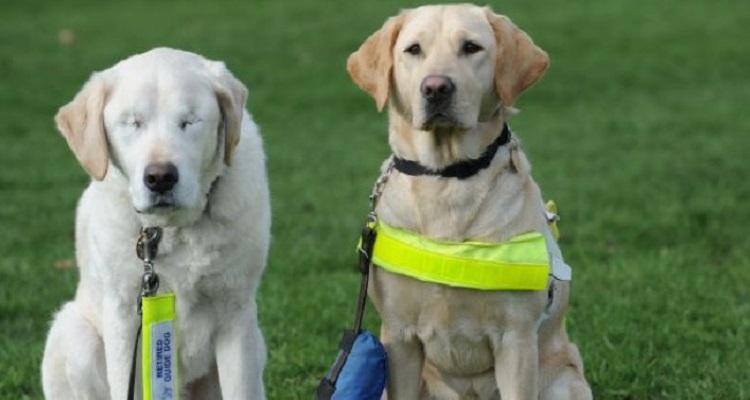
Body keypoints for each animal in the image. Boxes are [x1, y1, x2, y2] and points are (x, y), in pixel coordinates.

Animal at [40, 48, 270, 398]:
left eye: (189, 121)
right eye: (132, 123)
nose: (160, 177)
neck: (172, 230)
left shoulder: (236, 313)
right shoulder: (123, 317)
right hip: (75, 336)